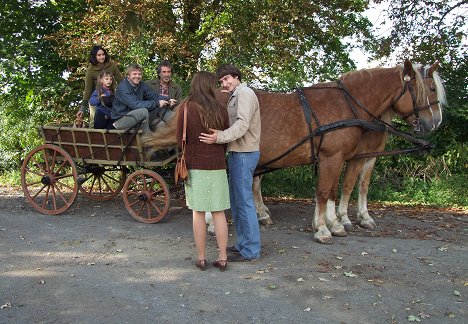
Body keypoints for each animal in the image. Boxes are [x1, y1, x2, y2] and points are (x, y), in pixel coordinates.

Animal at [146, 58, 446, 243]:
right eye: (430, 88)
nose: (434, 123)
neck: (349, 106)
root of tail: (195, 98)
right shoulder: (333, 157)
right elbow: (327, 191)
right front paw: (324, 228)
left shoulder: (347, 157)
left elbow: (338, 190)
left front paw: (337, 222)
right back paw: (210, 222)